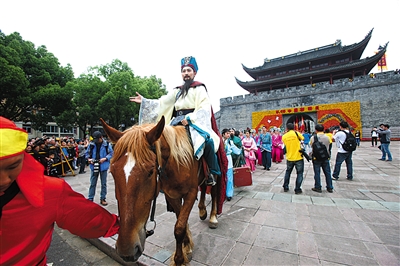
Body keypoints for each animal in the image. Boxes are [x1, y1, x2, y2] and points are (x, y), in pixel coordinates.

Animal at [100, 117, 219, 266]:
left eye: (151, 171)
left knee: (213, 192)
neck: (176, 163)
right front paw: (187, 246)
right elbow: (181, 221)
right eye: (112, 172)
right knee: (203, 188)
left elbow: (179, 228)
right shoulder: (172, 195)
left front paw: (179, 259)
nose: (127, 250)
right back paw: (202, 211)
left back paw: (213, 217)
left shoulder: (190, 194)